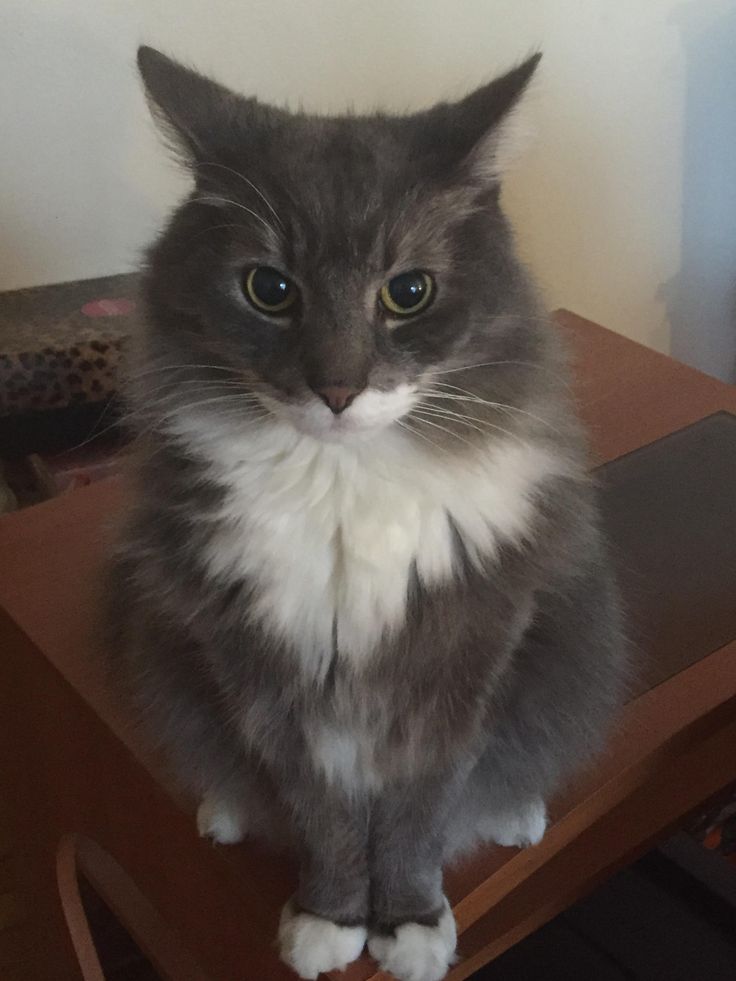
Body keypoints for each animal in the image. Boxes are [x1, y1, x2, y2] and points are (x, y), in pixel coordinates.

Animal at [105, 44, 628, 980]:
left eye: (408, 292)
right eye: (269, 288)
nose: (338, 389)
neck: (340, 486)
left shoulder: (465, 660)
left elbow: (420, 812)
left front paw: (412, 924)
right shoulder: (260, 672)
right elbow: (324, 815)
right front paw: (331, 917)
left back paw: (518, 810)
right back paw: (225, 808)